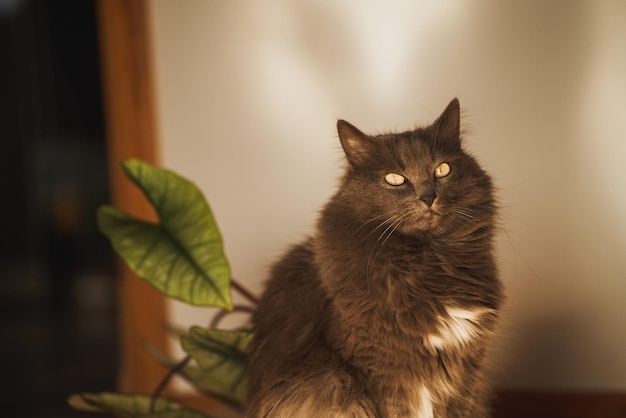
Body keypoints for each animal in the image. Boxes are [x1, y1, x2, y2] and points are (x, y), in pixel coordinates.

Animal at [244, 99, 502, 418]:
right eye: (395, 179)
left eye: (443, 169)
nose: (428, 196)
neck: (430, 263)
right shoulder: (381, 372)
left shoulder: (465, 373)